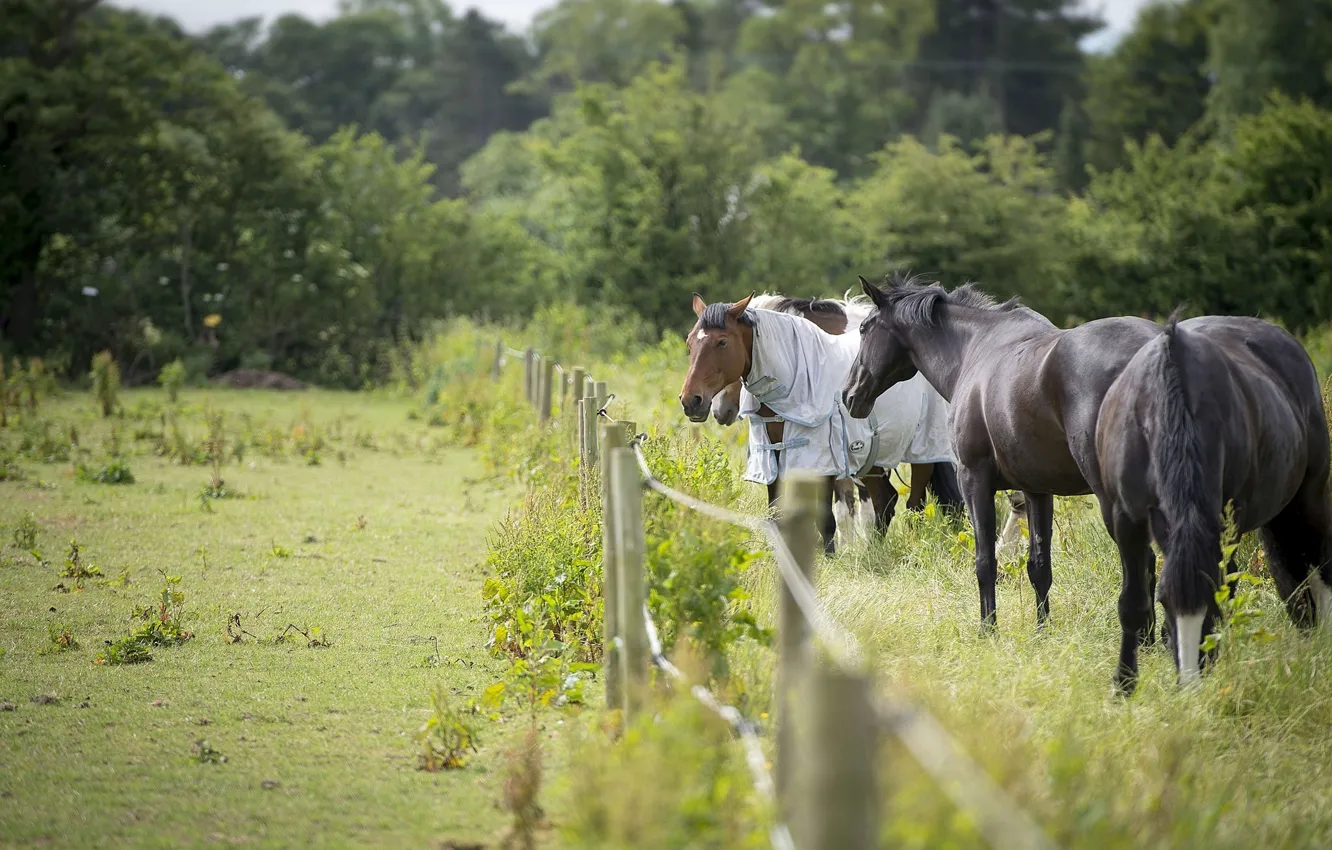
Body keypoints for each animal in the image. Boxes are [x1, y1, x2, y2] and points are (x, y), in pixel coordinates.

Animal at [680, 293, 963, 555]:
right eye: (690, 342)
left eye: (722, 342)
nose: (694, 401)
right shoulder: (774, 455)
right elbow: (778, 513)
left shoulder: (826, 460)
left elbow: (831, 515)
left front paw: (831, 556)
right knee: (886, 499)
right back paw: (873, 552)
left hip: (922, 451)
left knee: (914, 503)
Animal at [842, 273, 1164, 633]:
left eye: (864, 328)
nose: (848, 394)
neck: (976, 348)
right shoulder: (1037, 491)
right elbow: (1039, 565)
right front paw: (1041, 631)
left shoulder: (974, 480)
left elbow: (985, 561)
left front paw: (988, 630)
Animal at [1097, 313, 1332, 692]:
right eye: (1164, 602)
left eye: (1210, 605)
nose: (1191, 686)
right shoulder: (1126, 518)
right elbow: (1132, 602)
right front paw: (1124, 685)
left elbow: (1229, 588)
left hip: (1309, 495)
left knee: (1319, 564)